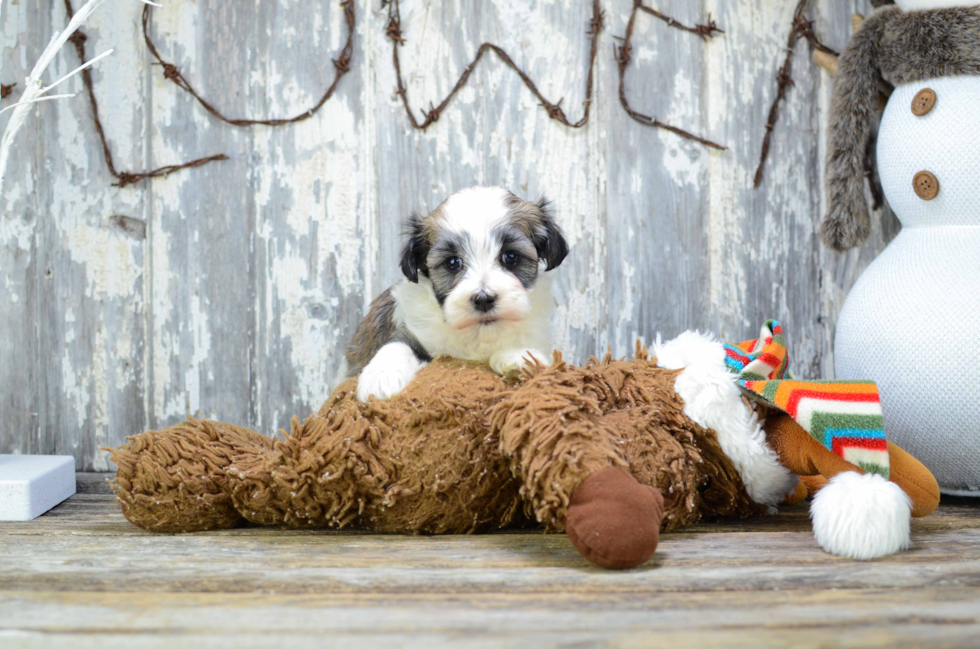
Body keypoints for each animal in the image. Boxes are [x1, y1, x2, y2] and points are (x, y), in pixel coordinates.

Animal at [342, 185, 568, 402]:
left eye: (511, 256)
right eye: (452, 262)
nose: (483, 299)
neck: (476, 333)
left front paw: (521, 358)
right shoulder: (415, 330)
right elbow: (398, 344)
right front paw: (380, 377)